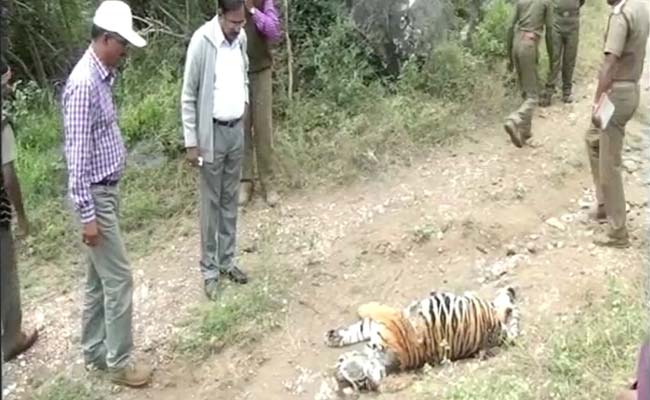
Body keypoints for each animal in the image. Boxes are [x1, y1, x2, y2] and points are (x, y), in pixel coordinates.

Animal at [322, 286, 520, 393]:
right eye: (359, 384)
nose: (370, 383)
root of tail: (496, 335)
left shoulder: (386, 320)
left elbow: (366, 319)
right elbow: (358, 329)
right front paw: (334, 337)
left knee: (504, 304)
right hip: (482, 307)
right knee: (503, 306)